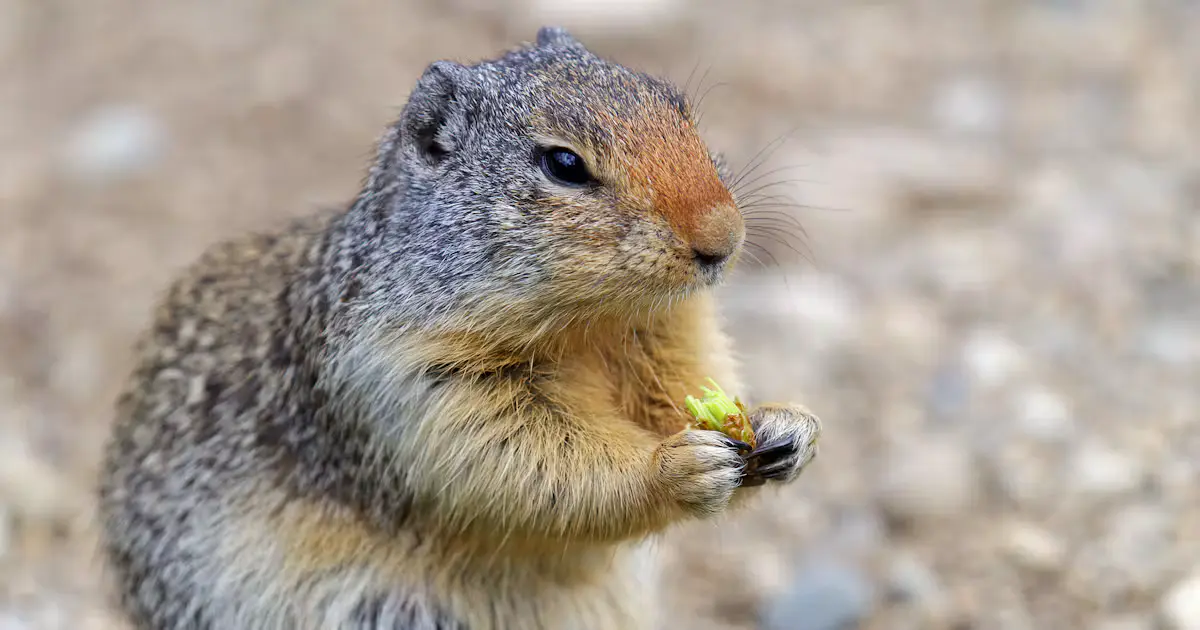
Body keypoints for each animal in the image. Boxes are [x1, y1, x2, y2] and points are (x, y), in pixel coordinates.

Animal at [97, 26, 822, 630]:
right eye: (563, 164)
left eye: (678, 106)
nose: (723, 239)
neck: (593, 326)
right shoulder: (418, 377)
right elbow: (528, 460)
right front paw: (676, 465)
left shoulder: (668, 336)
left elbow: (686, 386)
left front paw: (785, 426)